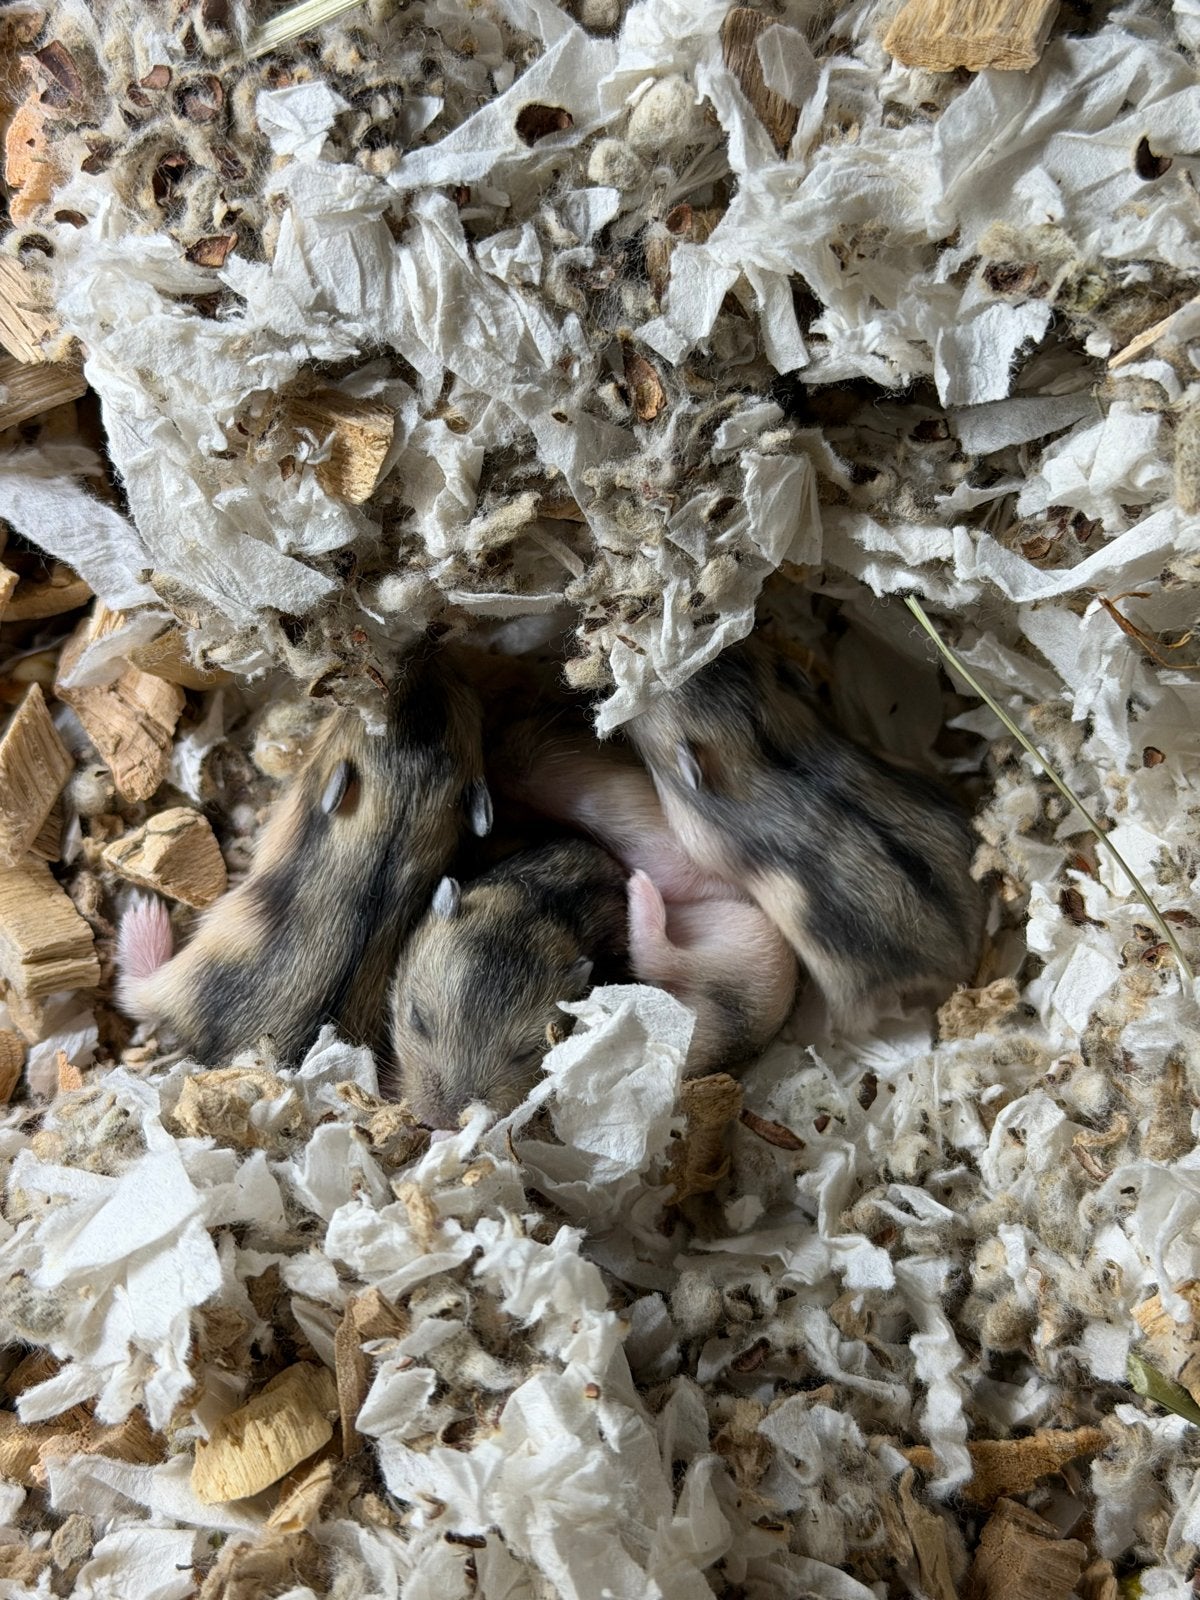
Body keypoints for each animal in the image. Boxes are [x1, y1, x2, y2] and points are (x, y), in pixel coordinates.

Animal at [119, 649, 490, 1064]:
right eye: (460, 687)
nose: (423, 656)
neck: (398, 820)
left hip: (180, 981)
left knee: (134, 992)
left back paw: (143, 911)